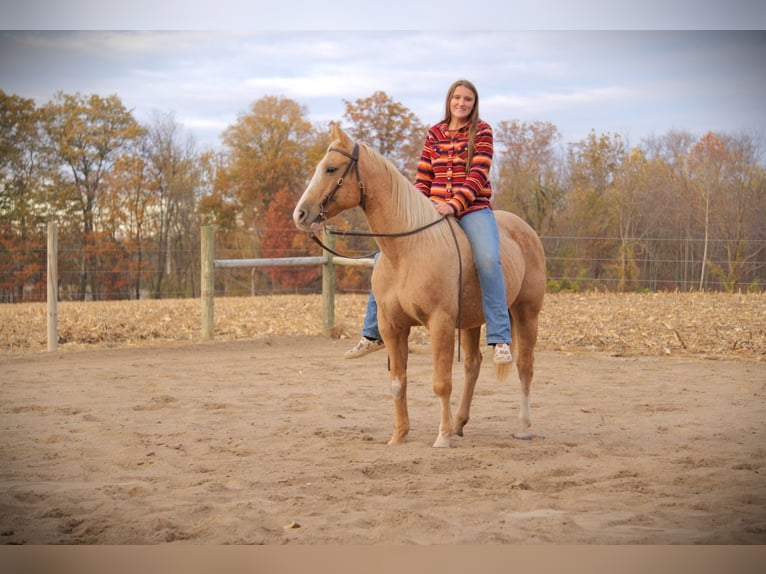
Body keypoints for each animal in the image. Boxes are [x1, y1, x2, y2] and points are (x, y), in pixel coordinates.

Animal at [293, 123, 546, 448]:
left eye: (331, 168)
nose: (300, 214)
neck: (410, 249)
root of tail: (526, 230)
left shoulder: (440, 322)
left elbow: (441, 383)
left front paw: (442, 437)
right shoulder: (392, 326)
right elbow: (398, 382)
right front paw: (399, 435)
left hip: (526, 313)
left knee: (525, 366)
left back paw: (523, 426)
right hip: (471, 321)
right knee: (472, 365)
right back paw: (460, 423)